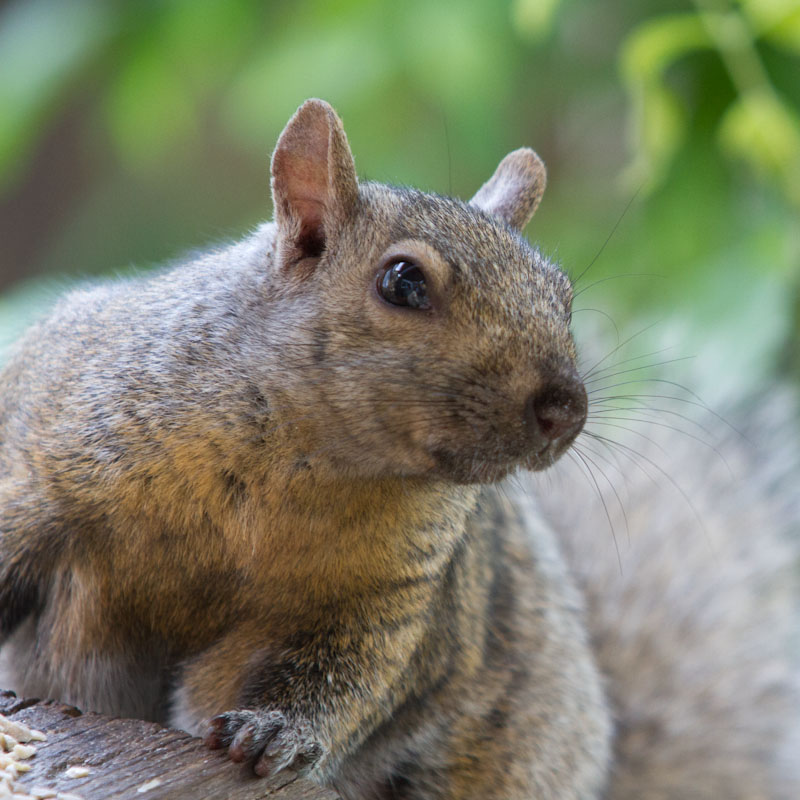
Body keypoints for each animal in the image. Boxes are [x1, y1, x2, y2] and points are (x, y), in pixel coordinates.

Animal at [0, 98, 798, 799]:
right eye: (403, 281)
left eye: (562, 293)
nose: (565, 409)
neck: (301, 466)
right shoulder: (40, 461)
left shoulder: (384, 600)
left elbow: (341, 676)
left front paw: (276, 731)